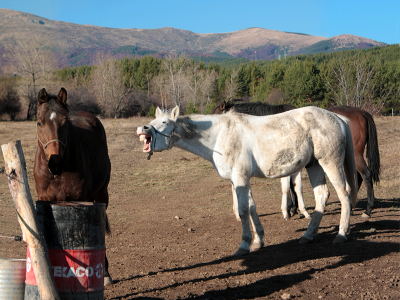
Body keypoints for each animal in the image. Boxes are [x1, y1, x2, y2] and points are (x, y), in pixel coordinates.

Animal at [33, 87, 113, 286]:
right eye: (39, 122)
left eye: (65, 123)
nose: (56, 163)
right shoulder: (45, 200)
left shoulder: (79, 199)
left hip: (101, 194)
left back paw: (105, 273)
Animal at [137, 105, 356, 255]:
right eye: (153, 121)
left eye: (164, 123)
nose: (142, 129)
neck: (219, 135)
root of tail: (337, 117)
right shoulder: (240, 181)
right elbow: (251, 208)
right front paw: (258, 241)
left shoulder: (240, 177)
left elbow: (242, 211)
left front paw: (244, 245)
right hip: (314, 165)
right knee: (322, 196)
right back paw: (308, 235)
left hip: (329, 162)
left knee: (344, 194)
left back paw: (341, 234)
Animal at [211, 101, 380, 218]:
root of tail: (361, 112)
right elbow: (293, 186)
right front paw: (294, 208)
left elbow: (291, 186)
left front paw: (292, 209)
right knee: (357, 178)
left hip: (355, 156)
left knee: (366, 175)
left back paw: (367, 210)